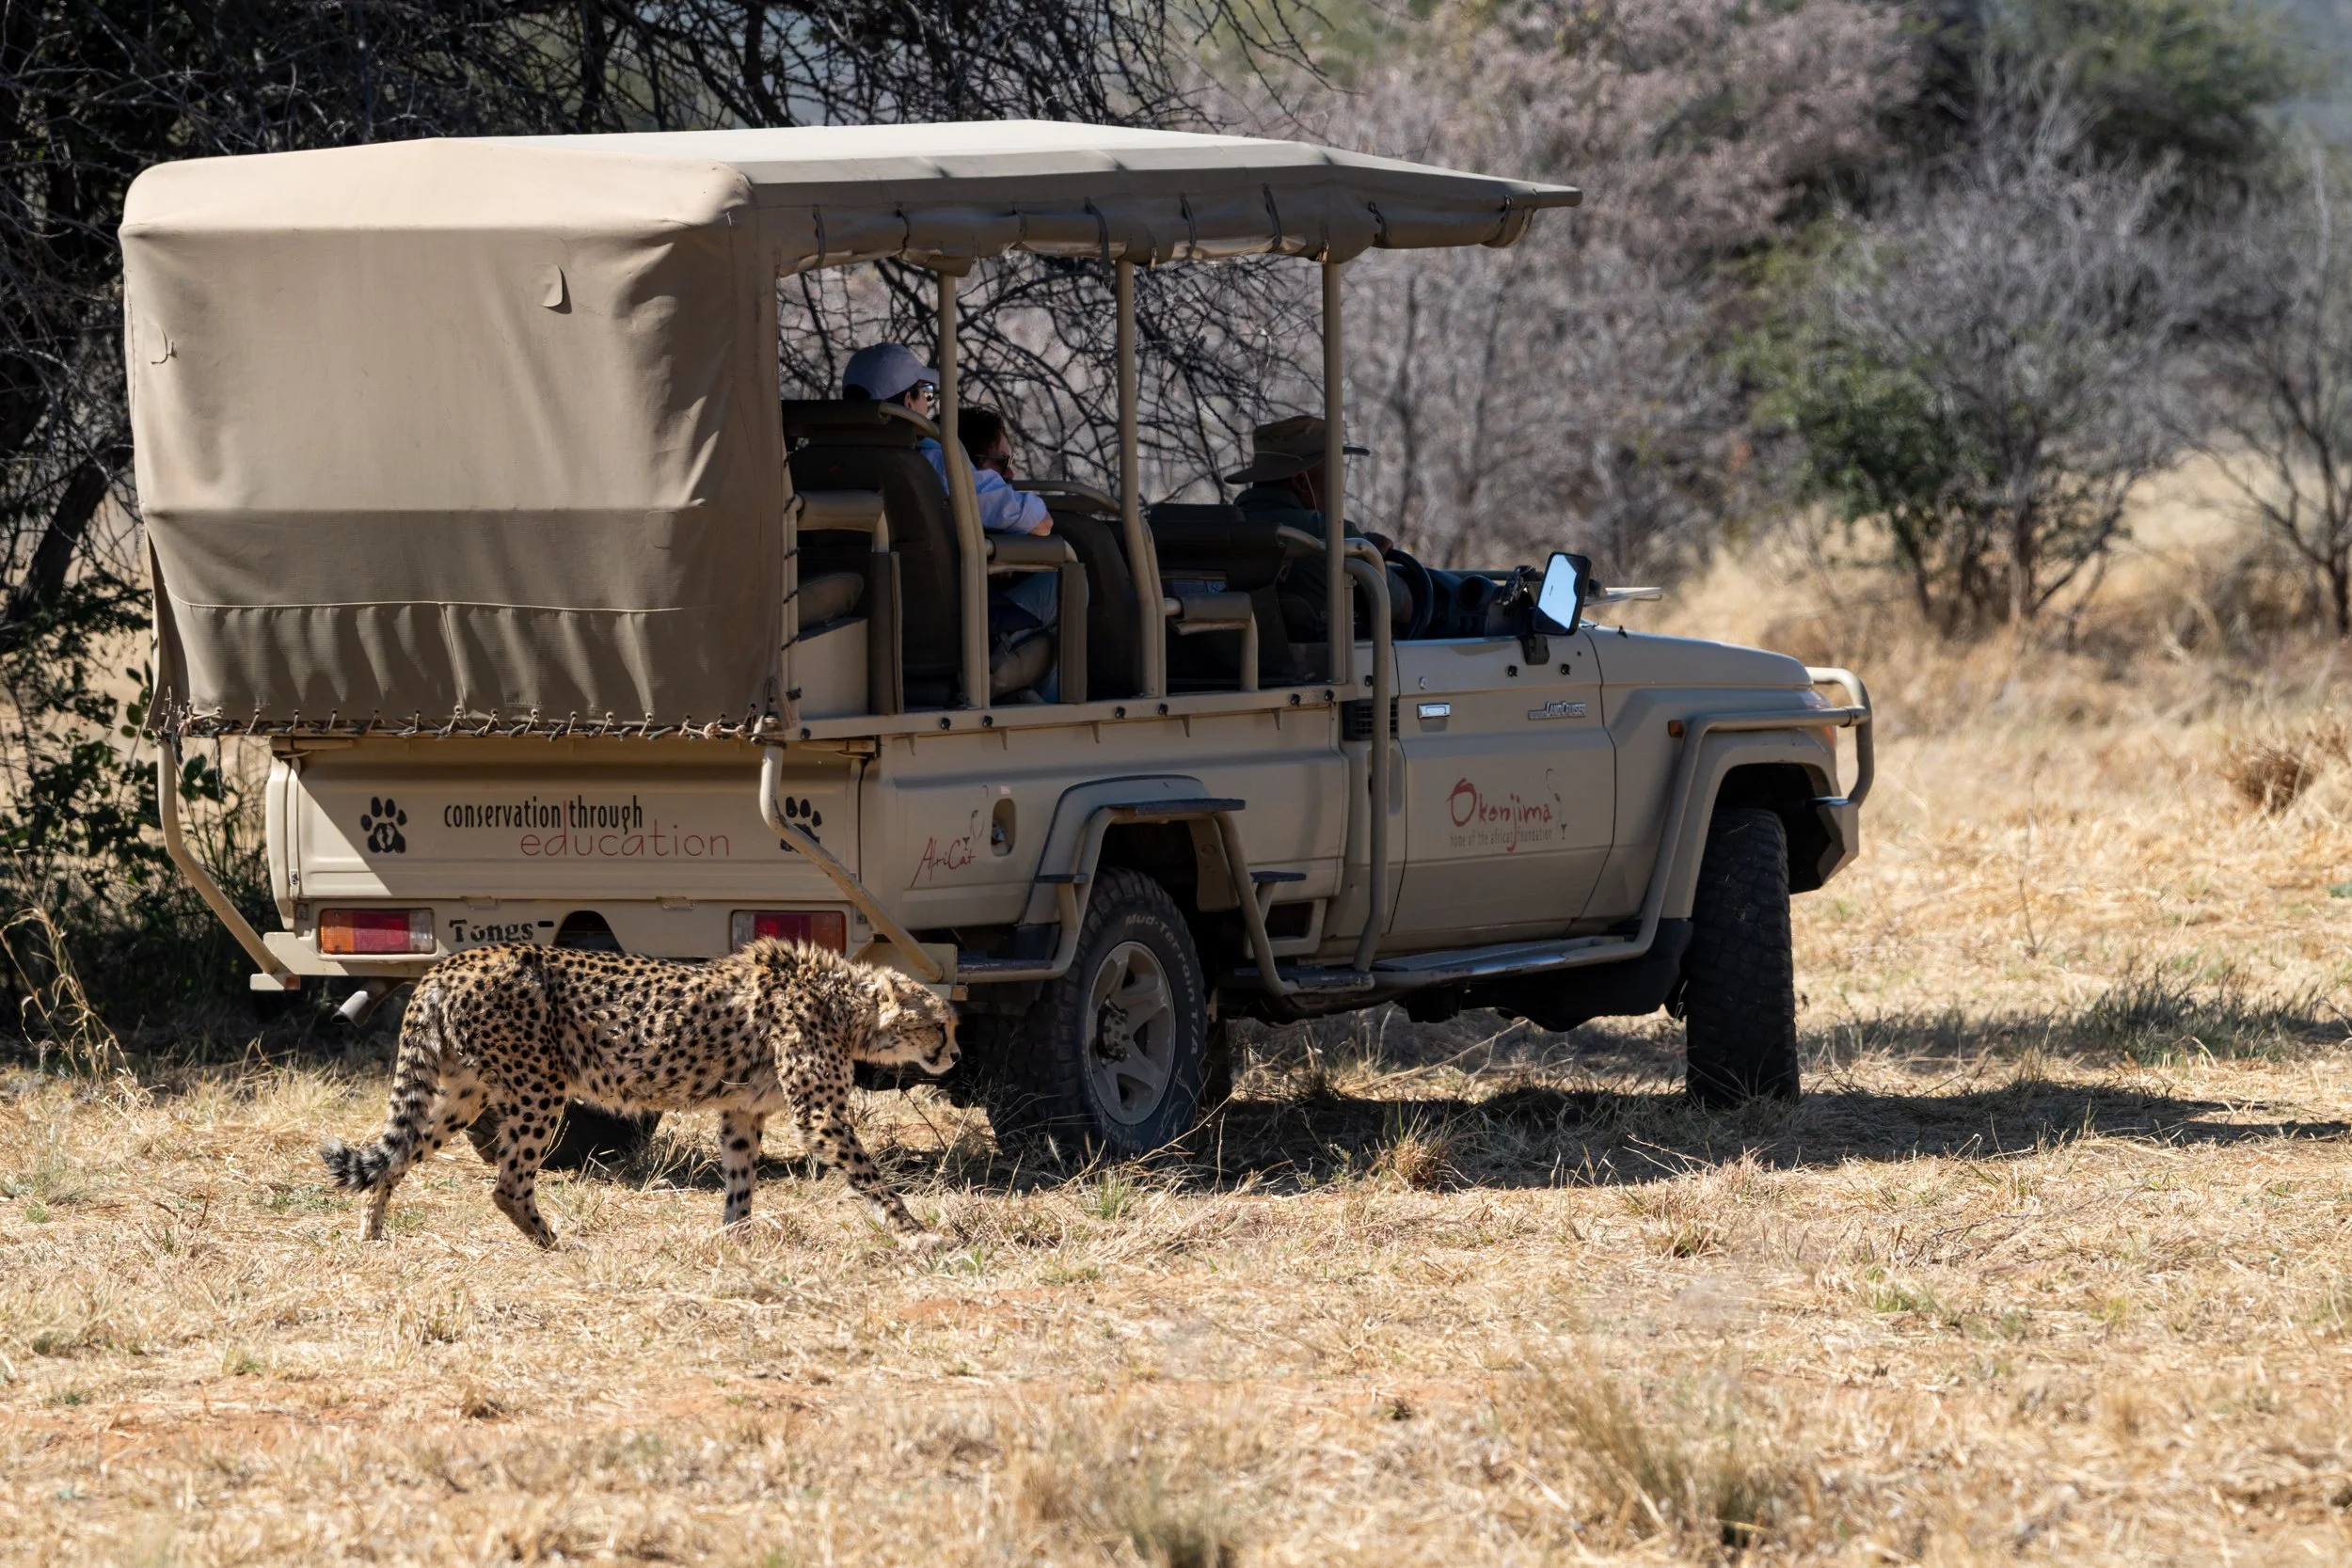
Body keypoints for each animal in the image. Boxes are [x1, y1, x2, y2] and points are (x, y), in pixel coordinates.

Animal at [319, 938, 958, 1249]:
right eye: (940, 1025)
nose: (954, 1056)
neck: (844, 1004)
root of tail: (449, 962)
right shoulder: (820, 1114)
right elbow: (870, 1176)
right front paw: (917, 1233)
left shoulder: (740, 1112)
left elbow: (740, 1181)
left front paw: (736, 1240)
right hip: (539, 1088)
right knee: (506, 1184)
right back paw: (557, 1244)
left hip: (465, 1093)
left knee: (394, 1156)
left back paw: (372, 1233)